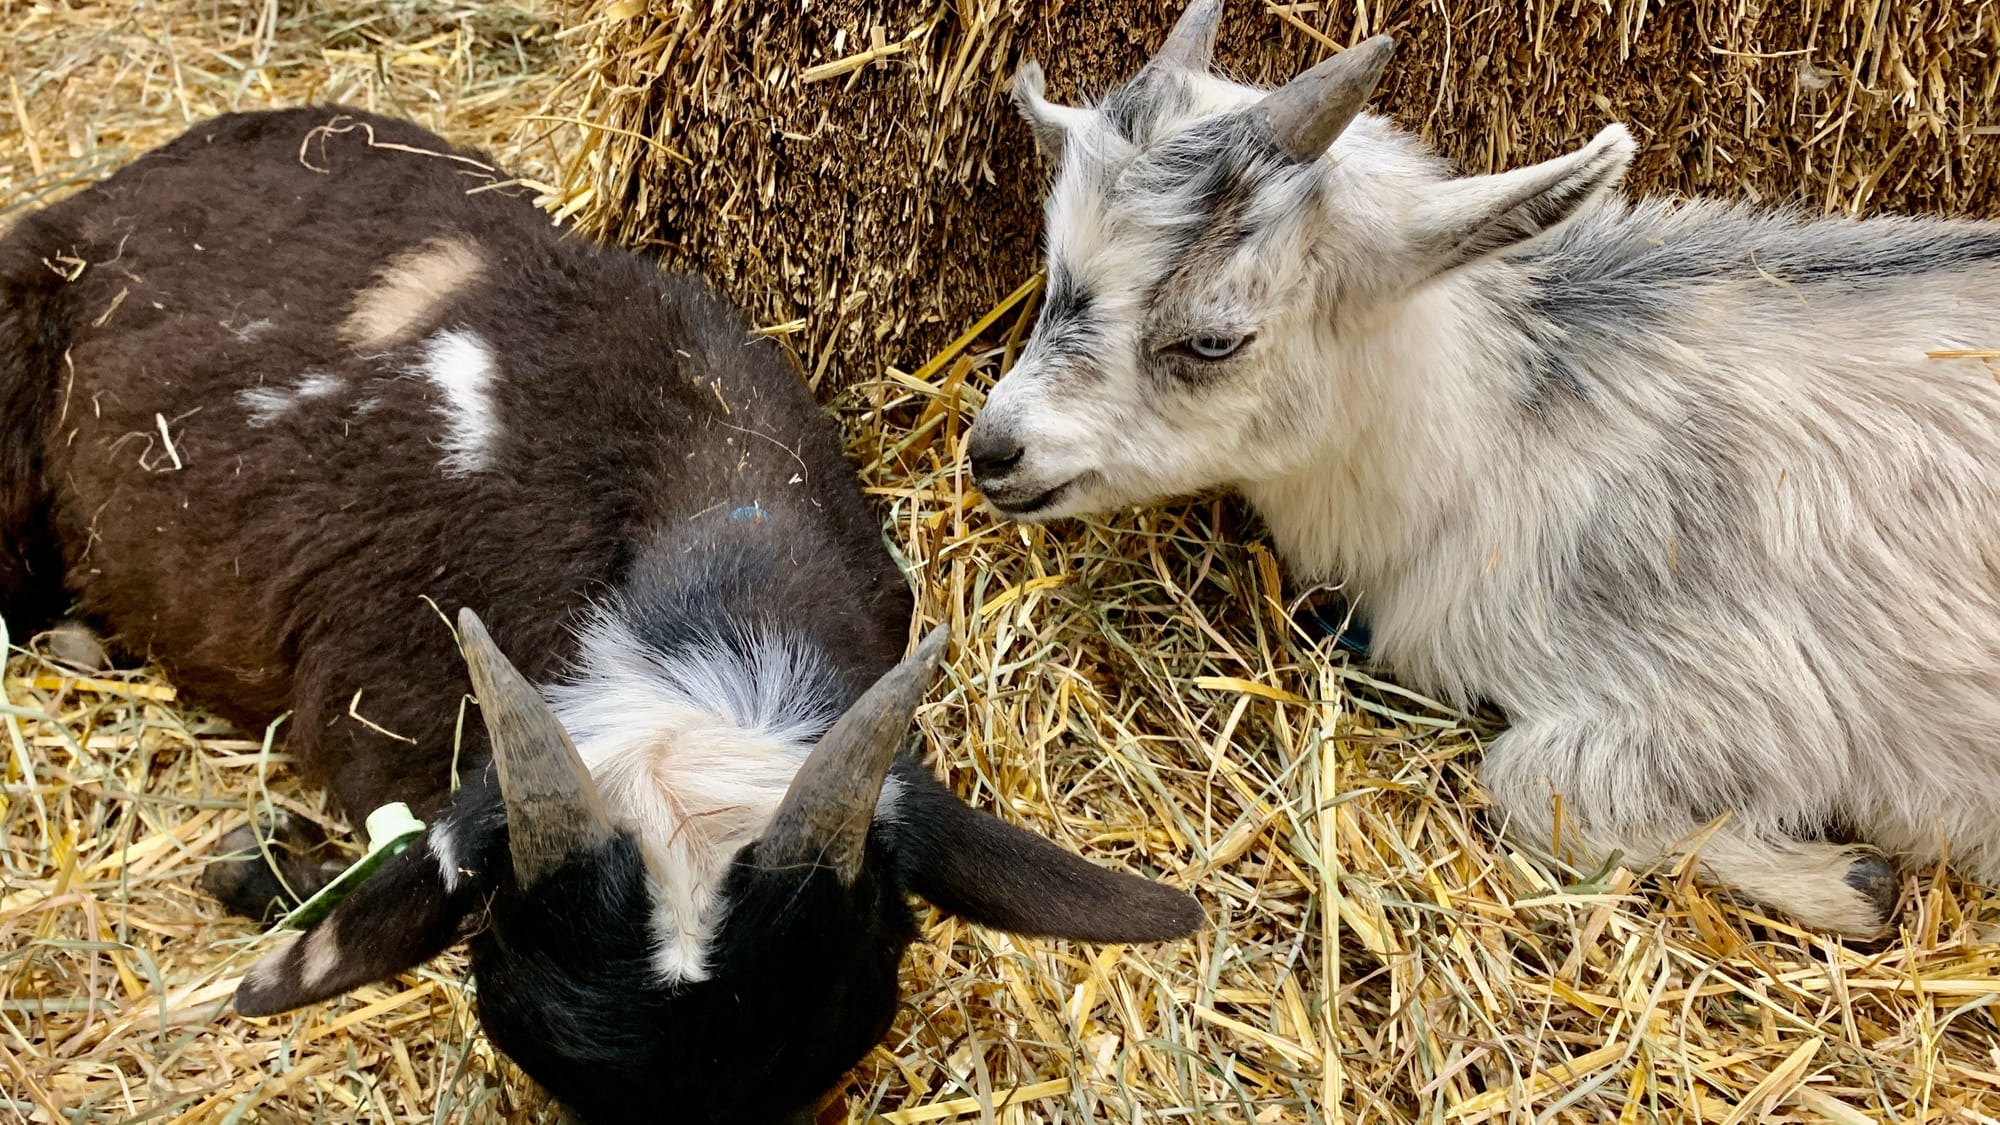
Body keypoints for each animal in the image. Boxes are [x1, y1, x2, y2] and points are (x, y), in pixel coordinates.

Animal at [967, 0, 2000, 937]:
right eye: (1055, 262)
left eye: (1214, 337)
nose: (992, 451)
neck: (1501, 442)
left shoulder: (1759, 696)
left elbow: (1529, 781)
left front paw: (1853, 882)